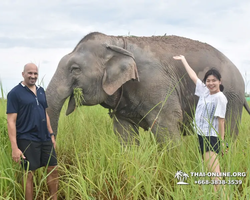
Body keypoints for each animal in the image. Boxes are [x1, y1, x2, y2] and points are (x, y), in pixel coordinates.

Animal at [45, 32, 250, 143]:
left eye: (75, 69)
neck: (117, 41)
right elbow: (125, 135)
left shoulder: (155, 83)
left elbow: (166, 125)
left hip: (231, 96)